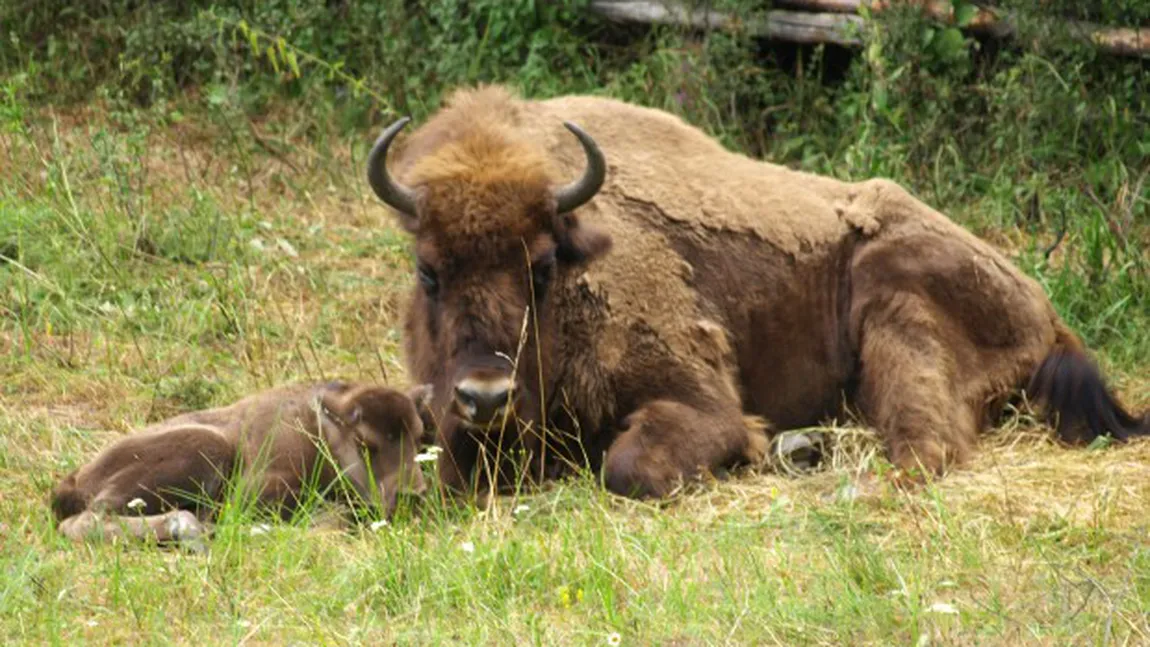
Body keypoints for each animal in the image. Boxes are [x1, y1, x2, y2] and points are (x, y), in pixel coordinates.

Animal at [51, 381, 430, 544]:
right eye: (366, 443)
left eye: (418, 435)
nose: (413, 495)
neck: (318, 430)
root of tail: (75, 479)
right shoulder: (253, 493)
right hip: (206, 449)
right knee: (84, 521)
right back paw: (188, 529)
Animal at [363, 83, 1145, 498]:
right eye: (428, 270)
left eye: (543, 265)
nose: (485, 397)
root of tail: (1045, 310)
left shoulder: (700, 399)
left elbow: (631, 466)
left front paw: (753, 450)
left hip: (896, 306)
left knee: (928, 447)